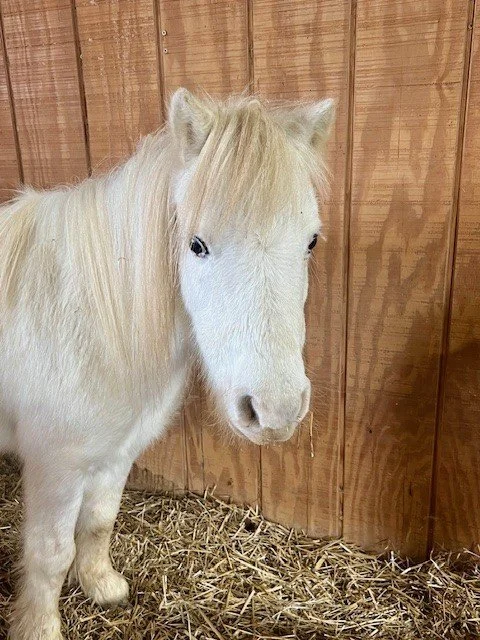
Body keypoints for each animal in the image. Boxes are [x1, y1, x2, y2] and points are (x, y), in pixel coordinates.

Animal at [0, 88, 335, 639]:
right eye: (196, 245)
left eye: (310, 240)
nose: (276, 411)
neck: (88, 316)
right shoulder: (56, 464)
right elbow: (50, 554)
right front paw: (40, 628)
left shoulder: (116, 452)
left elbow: (99, 521)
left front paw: (102, 586)